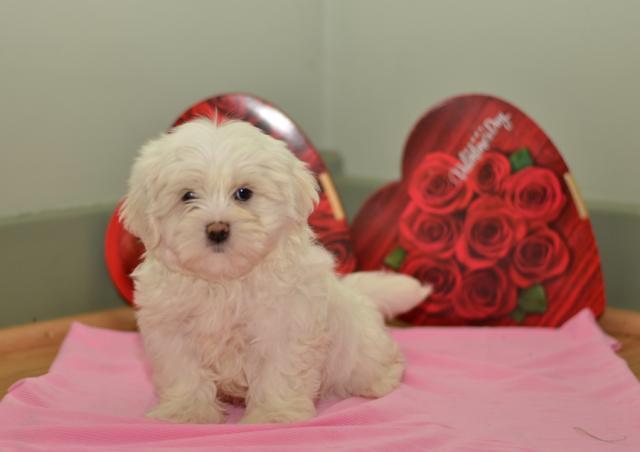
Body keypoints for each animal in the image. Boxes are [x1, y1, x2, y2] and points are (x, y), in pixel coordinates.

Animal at [121, 119, 430, 424]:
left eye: (244, 193)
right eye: (188, 196)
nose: (217, 230)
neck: (225, 281)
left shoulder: (285, 326)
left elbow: (278, 373)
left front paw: (274, 415)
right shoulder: (171, 330)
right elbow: (184, 374)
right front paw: (186, 413)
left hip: (360, 353)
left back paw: (380, 381)